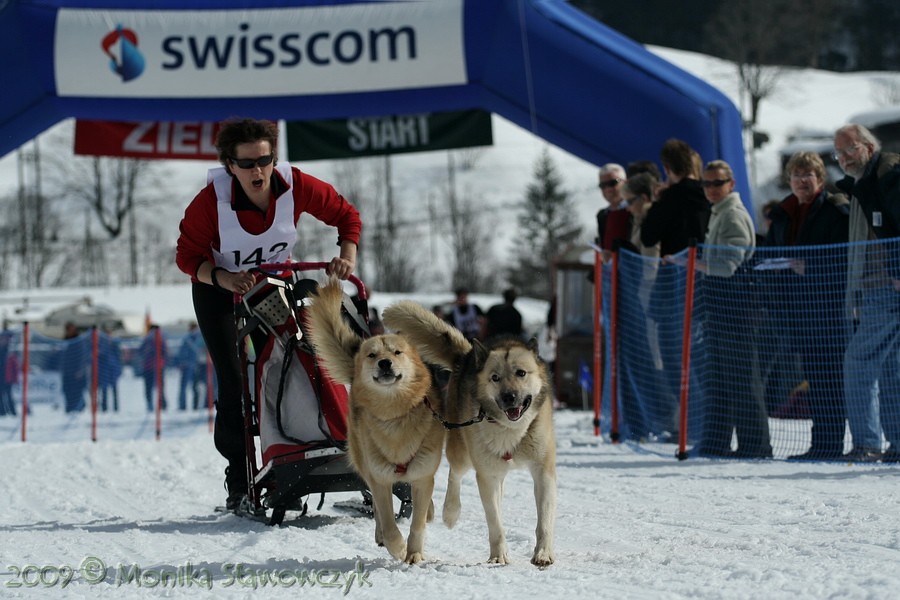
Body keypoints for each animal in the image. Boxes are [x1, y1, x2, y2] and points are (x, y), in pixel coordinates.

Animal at [304, 278, 444, 564]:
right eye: (372, 355)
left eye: (397, 352)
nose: (385, 363)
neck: (395, 415)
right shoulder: (380, 479)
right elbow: (389, 524)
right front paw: (398, 548)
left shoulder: (423, 477)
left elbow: (417, 523)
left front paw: (414, 553)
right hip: (365, 464)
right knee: (380, 513)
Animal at [382, 300, 556, 568]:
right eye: (495, 378)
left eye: (521, 373)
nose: (509, 397)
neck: (510, 431)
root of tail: (468, 356)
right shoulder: (486, 475)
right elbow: (494, 522)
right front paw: (499, 555)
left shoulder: (543, 471)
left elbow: (544, 520)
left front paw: (543, 553)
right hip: (462, 450)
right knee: (455, 475)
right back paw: (450, 512)